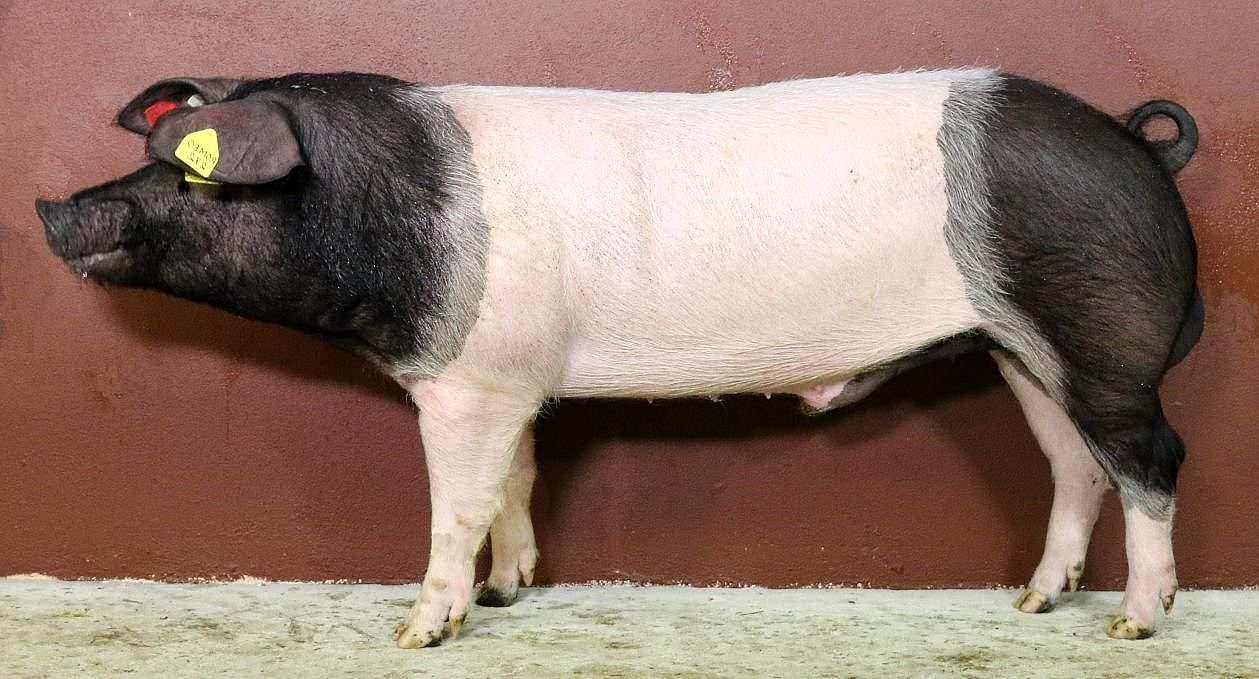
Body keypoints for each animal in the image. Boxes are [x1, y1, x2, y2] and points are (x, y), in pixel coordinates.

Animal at [34, 68, 1203, 650]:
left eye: (191, 176)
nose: (49, 207)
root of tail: (1134, 142)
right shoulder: (515, 383)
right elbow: (517, 481)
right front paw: (510, 592)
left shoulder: (467, 380)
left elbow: (456, 502)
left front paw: (415, 631)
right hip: (1016, 347)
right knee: (1072, 464)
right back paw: (1031, 605)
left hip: (1105, 336)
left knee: (1152, 460)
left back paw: (1133, 625)